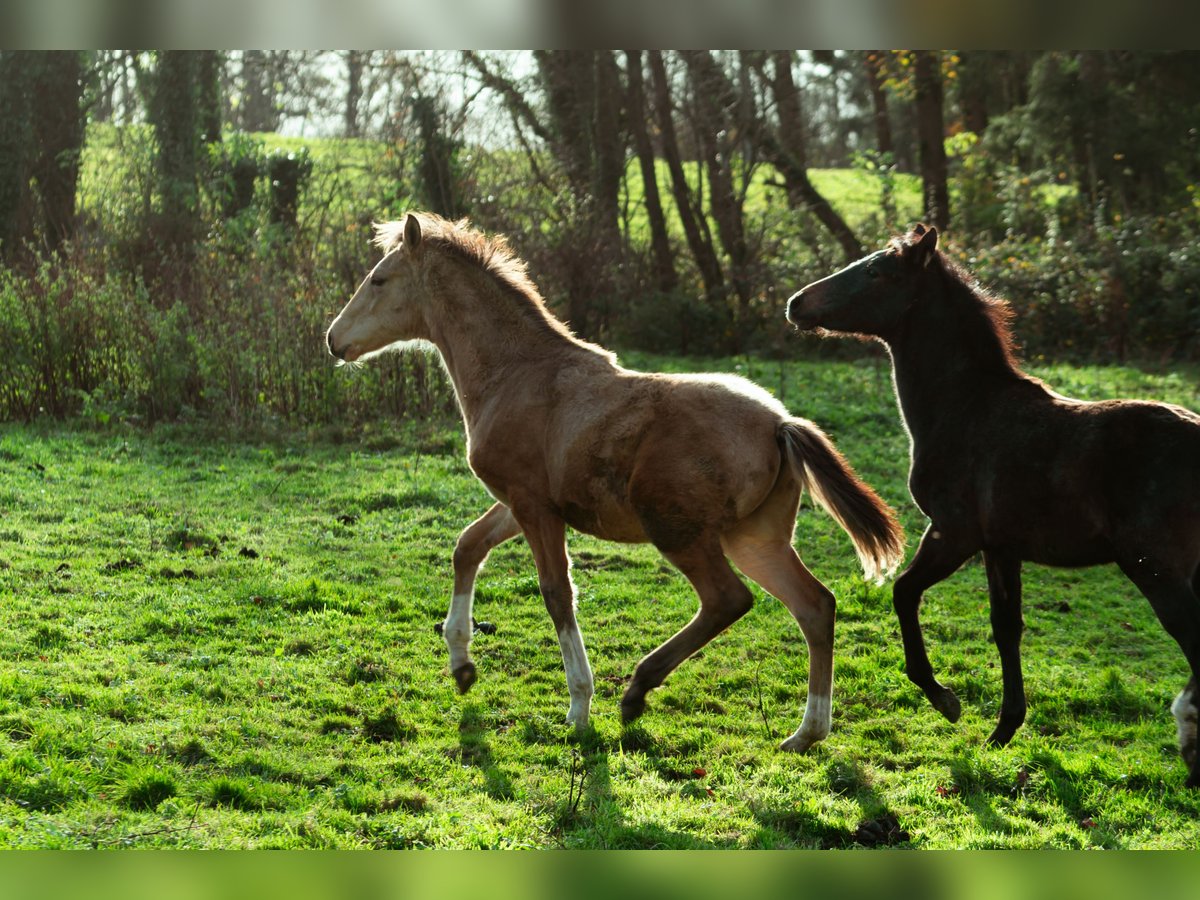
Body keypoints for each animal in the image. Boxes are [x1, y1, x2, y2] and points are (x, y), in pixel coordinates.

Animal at [327, 212, 905, 751]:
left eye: (379, 279)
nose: (334, 339)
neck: (516, 373)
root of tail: (781, 423)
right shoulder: (522, 502)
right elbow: (467, 547)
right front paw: (461, 664)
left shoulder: (534, 507)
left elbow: (557, 592)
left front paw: (579, 707)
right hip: (755, 538)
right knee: (815, 606)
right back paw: (806, 732)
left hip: (680, 531)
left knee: (728, 600)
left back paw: (637, 691)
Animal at [786, 224, 1200, 785]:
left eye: (876, 271)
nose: (796, 304)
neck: (966, 408)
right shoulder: (1002, 547)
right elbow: (1006, 628)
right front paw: (1004, 729)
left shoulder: (953, 534)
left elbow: (904, 593)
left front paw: (945, 700)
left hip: (1156, 569)